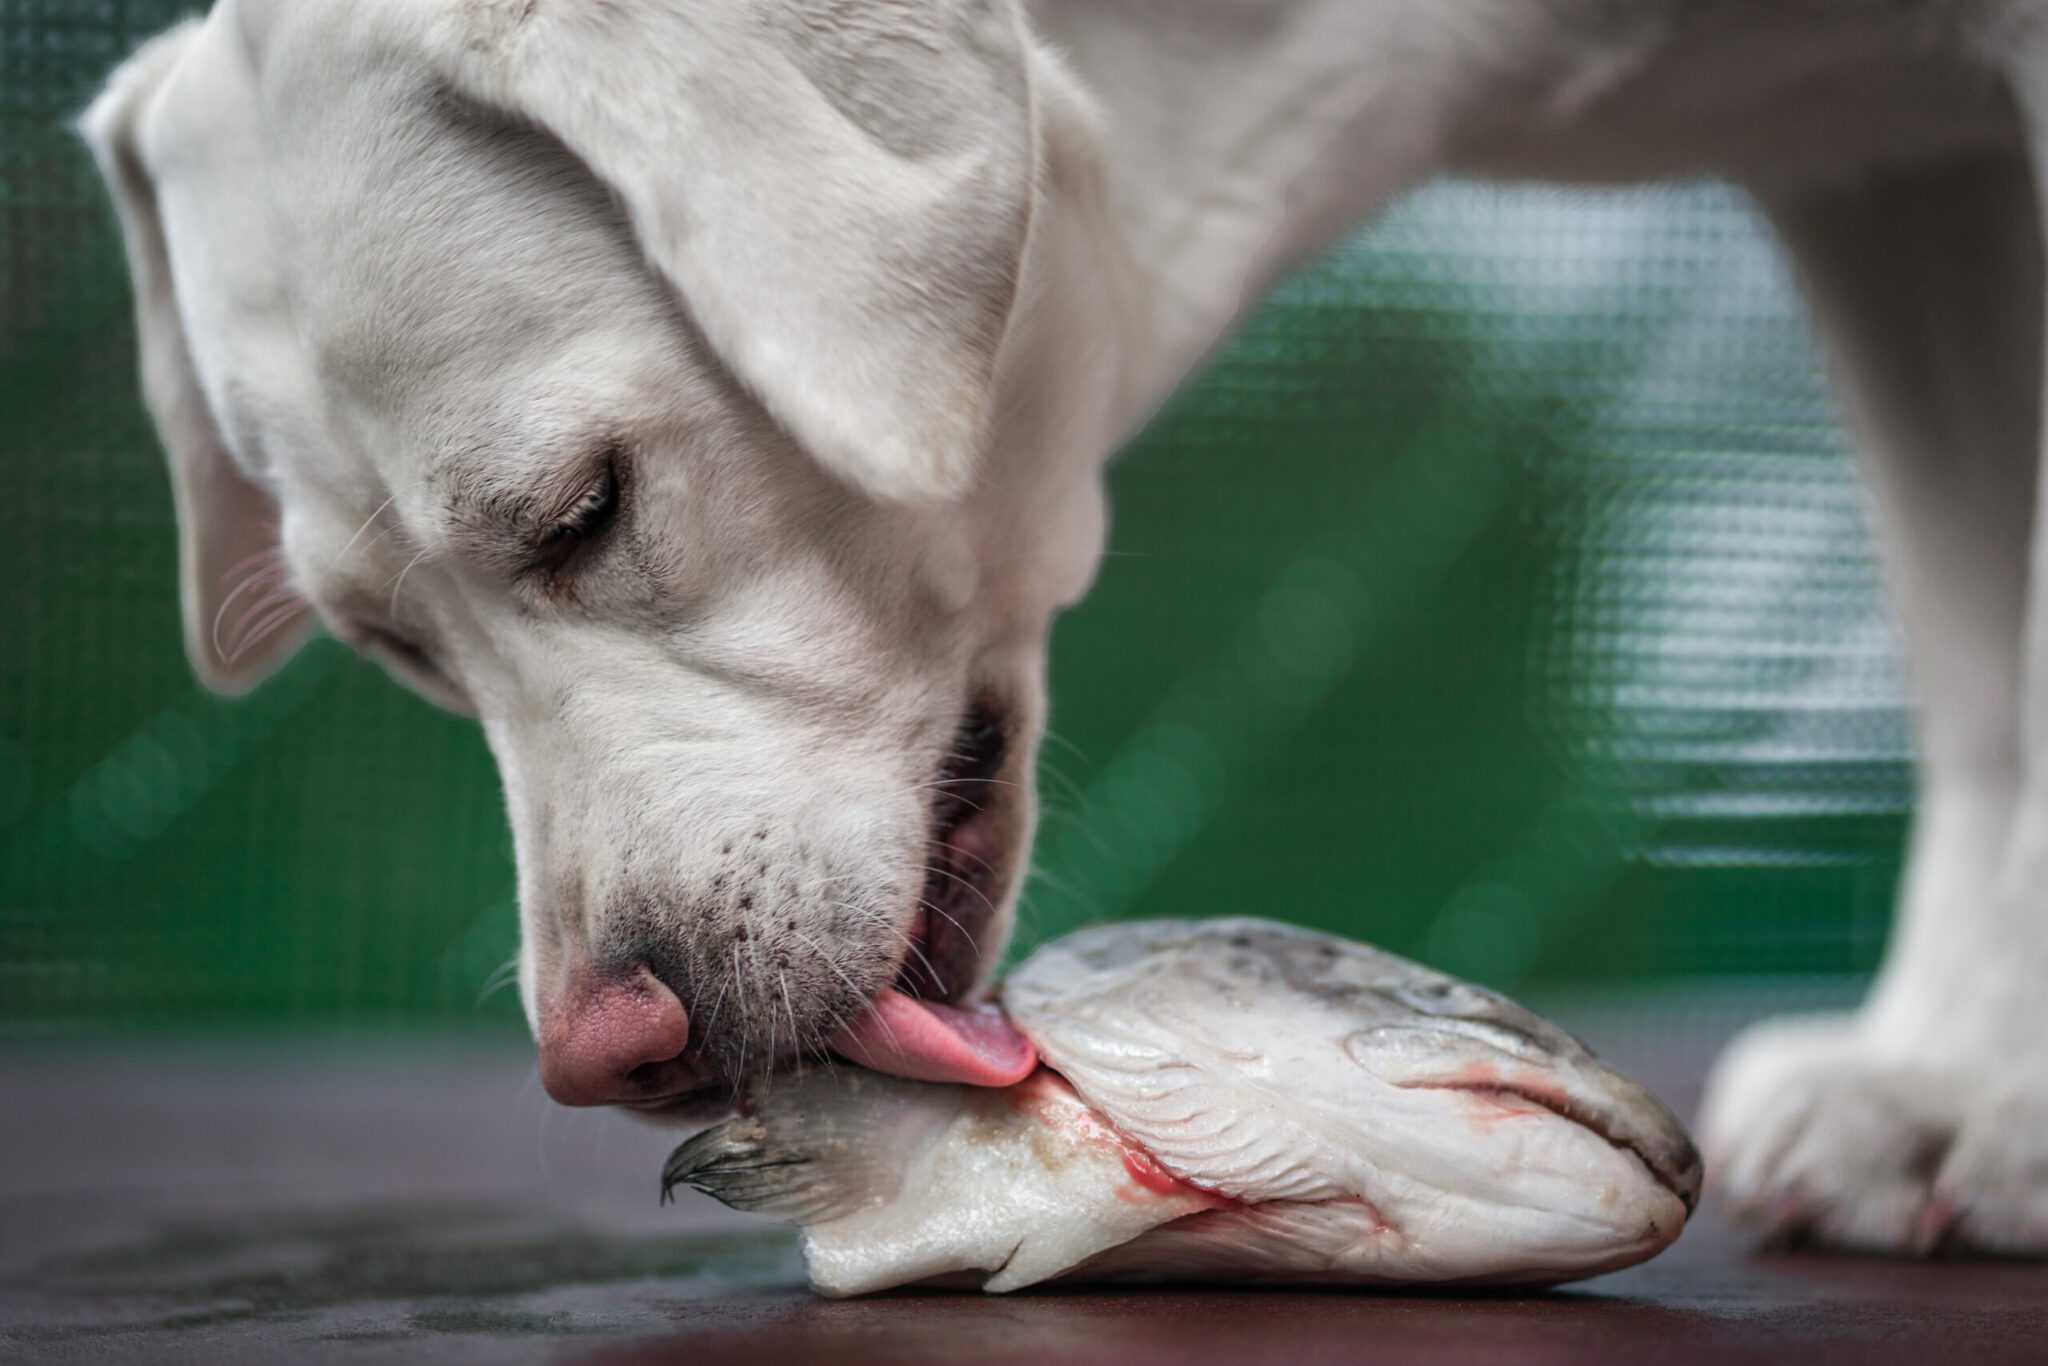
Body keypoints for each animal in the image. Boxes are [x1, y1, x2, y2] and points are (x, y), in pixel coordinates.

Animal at [83, 0, 2048, 1253]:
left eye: (584, 512)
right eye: (395, 650)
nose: (601, 1056)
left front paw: (1981, 1097)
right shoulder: (1888, 178)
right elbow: (1979, 665)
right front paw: (1936, 1081)